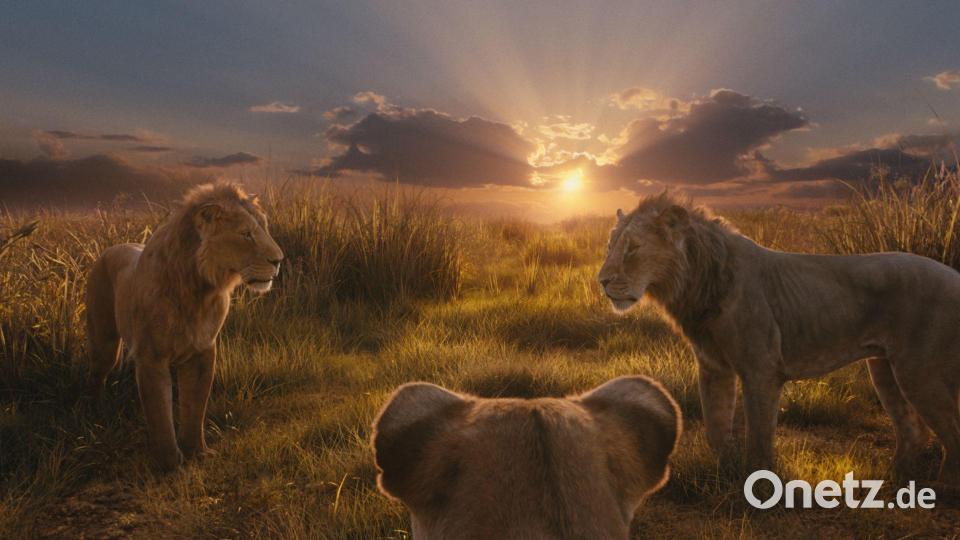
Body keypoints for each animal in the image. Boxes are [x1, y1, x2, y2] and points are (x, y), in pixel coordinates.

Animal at [85, 182, 283, 470]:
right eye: (246, 234)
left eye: (264, 229)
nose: (279, 260)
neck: (199, 290)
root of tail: (111, 248)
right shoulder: (151, 357)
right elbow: (159, 411)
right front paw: (168, 463)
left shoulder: (203, 351)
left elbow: (195, 406)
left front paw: (196, 452)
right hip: (104, 341)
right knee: (96, 374)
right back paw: (95, 415)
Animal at [598, 191, 960, 485]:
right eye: (610, 246)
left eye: (633, 248)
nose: (601, 281)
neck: (696, 283)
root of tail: (954, 275)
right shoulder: (714, 367)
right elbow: (716, 427)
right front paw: (725, 474)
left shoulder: (761, 370)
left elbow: (758, 437)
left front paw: (757, 490)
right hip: (884, 368)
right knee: (913, 430)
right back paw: (895, 481)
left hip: (919, 371)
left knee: (951, 430)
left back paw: (943, 491)